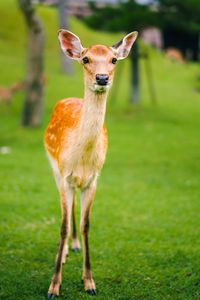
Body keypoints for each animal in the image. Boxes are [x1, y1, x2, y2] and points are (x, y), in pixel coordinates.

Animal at [44, 28, 138, 298]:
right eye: (86, 59)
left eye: (114, 59)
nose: (102, 77)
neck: (83, 158)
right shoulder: (64, 173)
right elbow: (63, 225)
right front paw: (54, 286)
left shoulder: (94, 178)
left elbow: (86, 224)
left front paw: (89, 282)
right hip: (54, 168)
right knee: (65, 211)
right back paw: (66, 250)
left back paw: (74, 246)